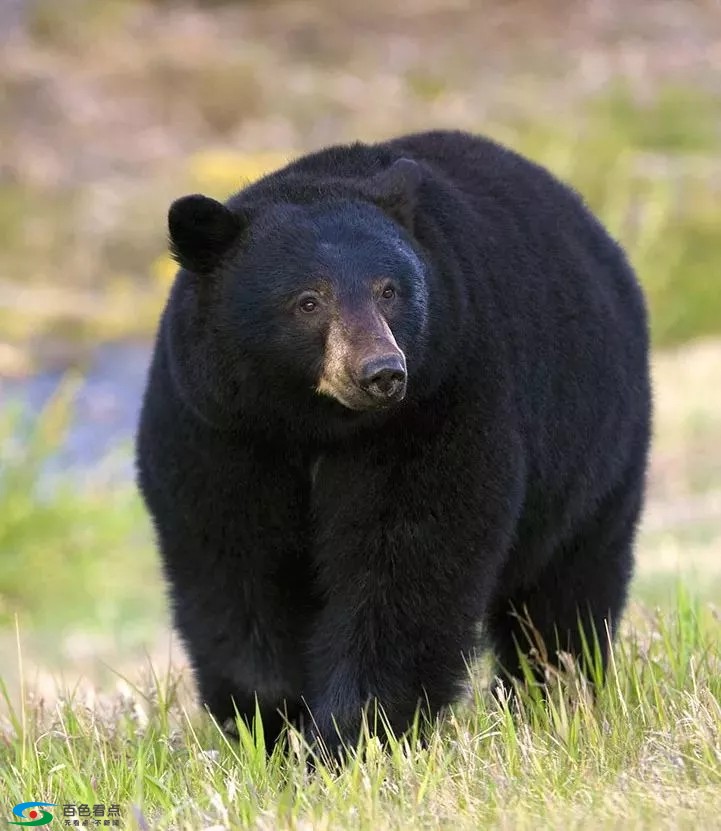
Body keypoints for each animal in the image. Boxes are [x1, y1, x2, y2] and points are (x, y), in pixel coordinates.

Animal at [136, 128, 652, 752]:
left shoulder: (439, 400)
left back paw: (551, 693)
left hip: (596, 447)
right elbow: (231, 565)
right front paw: (270, 723)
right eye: (308, 300)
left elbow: (408, 560)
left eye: (388, 291)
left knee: (567, 588)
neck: (312, 425)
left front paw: (350, 734)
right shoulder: (218, 429)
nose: (382, 372)